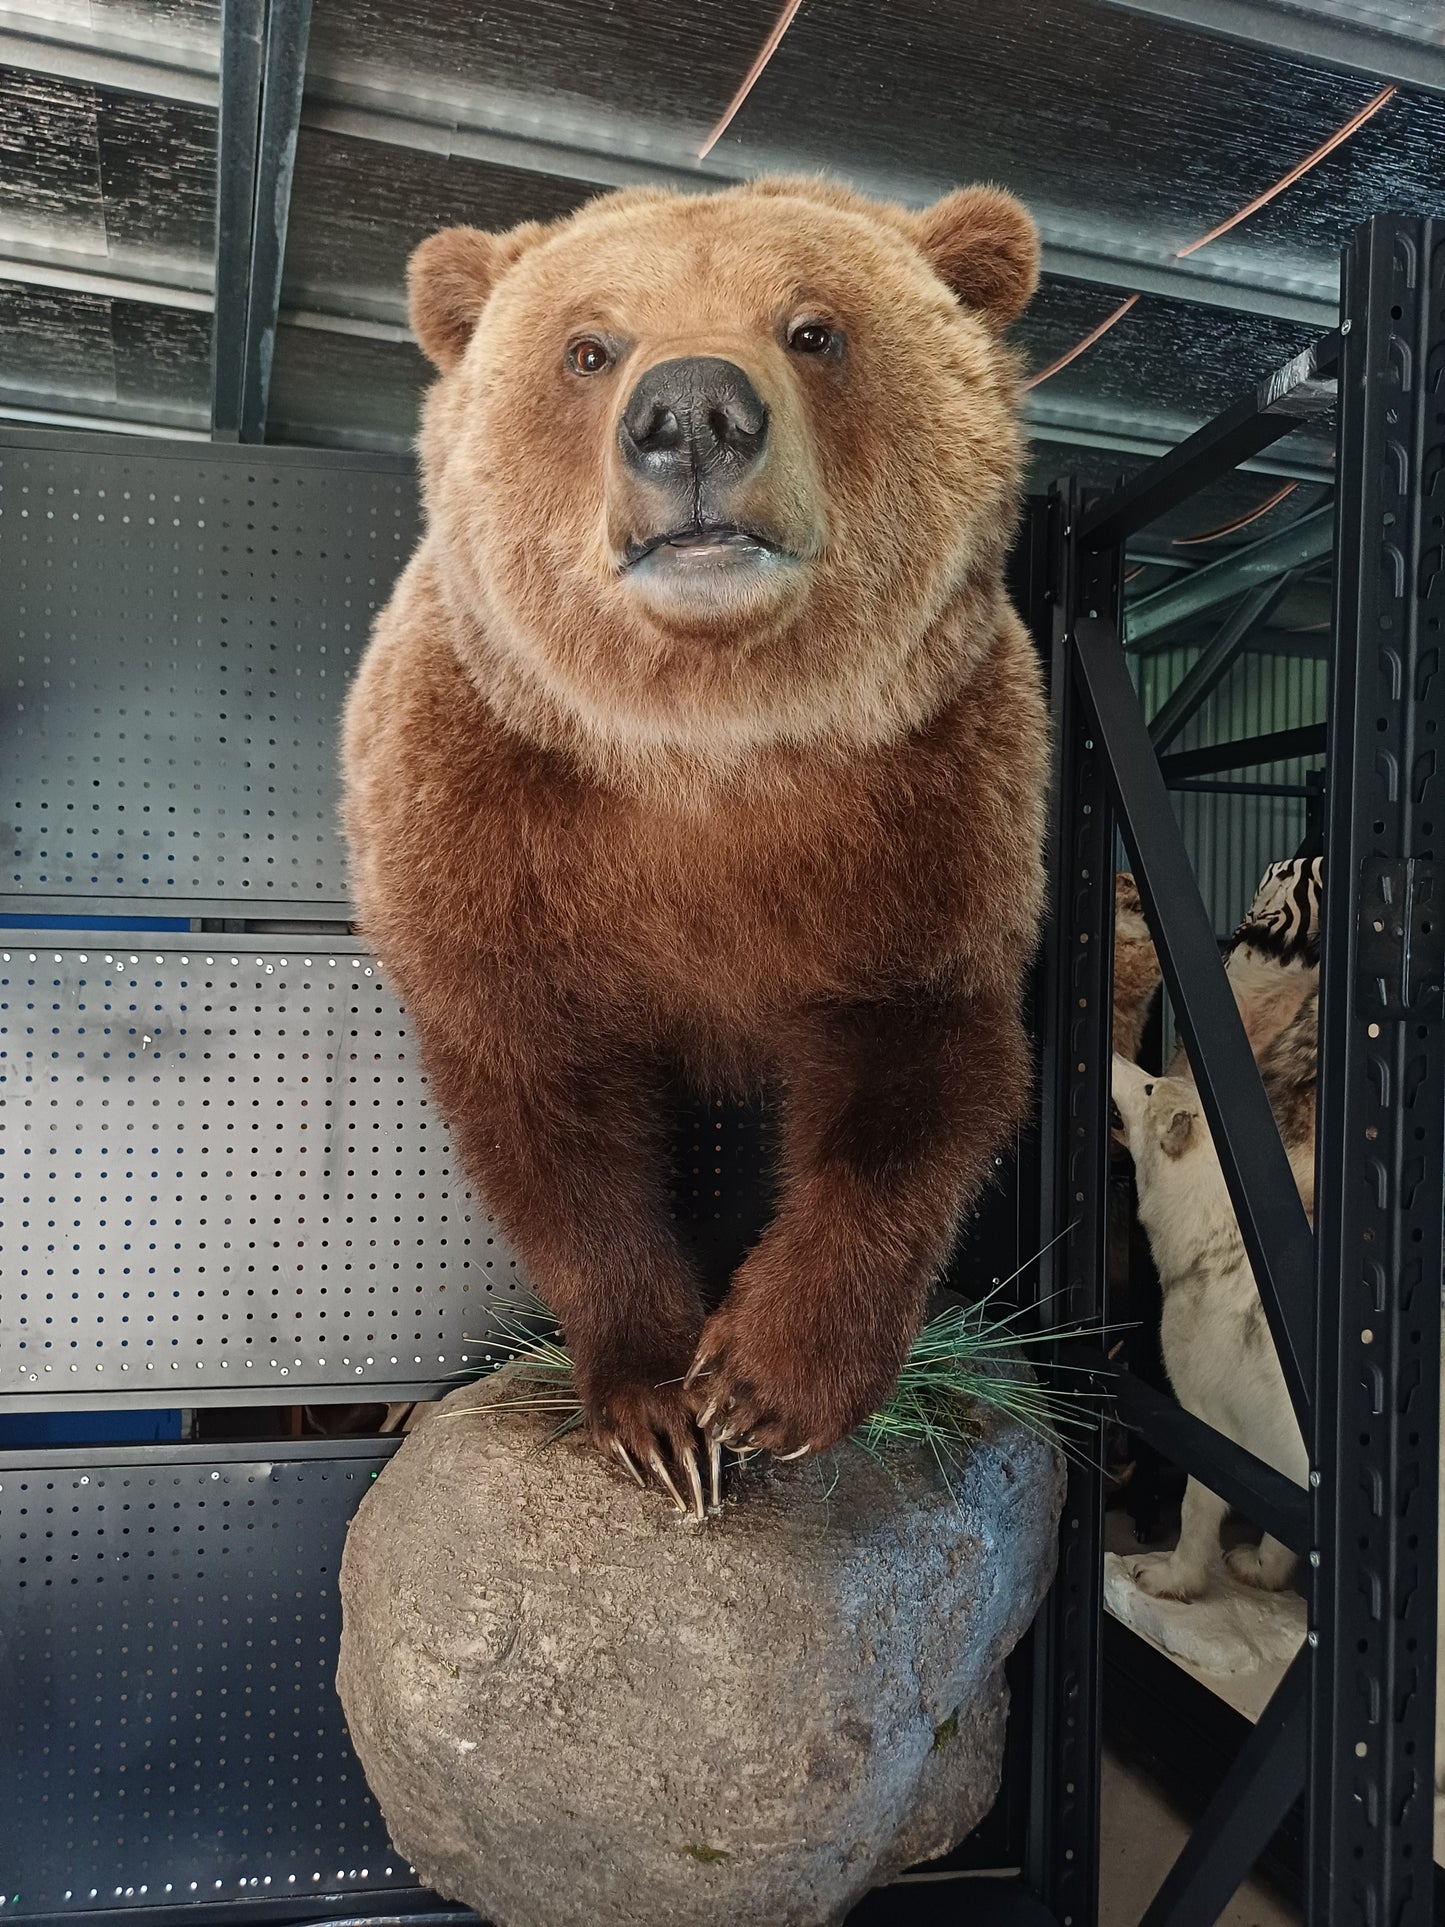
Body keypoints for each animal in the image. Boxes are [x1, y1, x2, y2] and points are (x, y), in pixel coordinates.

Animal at [341, 174, 1049, 1520]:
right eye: (588, 347)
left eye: (813, 329)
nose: (692, 413)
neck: (705, 748)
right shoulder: (485, 822)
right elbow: (548, 1108)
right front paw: (658, 1409)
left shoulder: (931, 819)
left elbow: (909, 1088)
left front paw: (761, 1388)